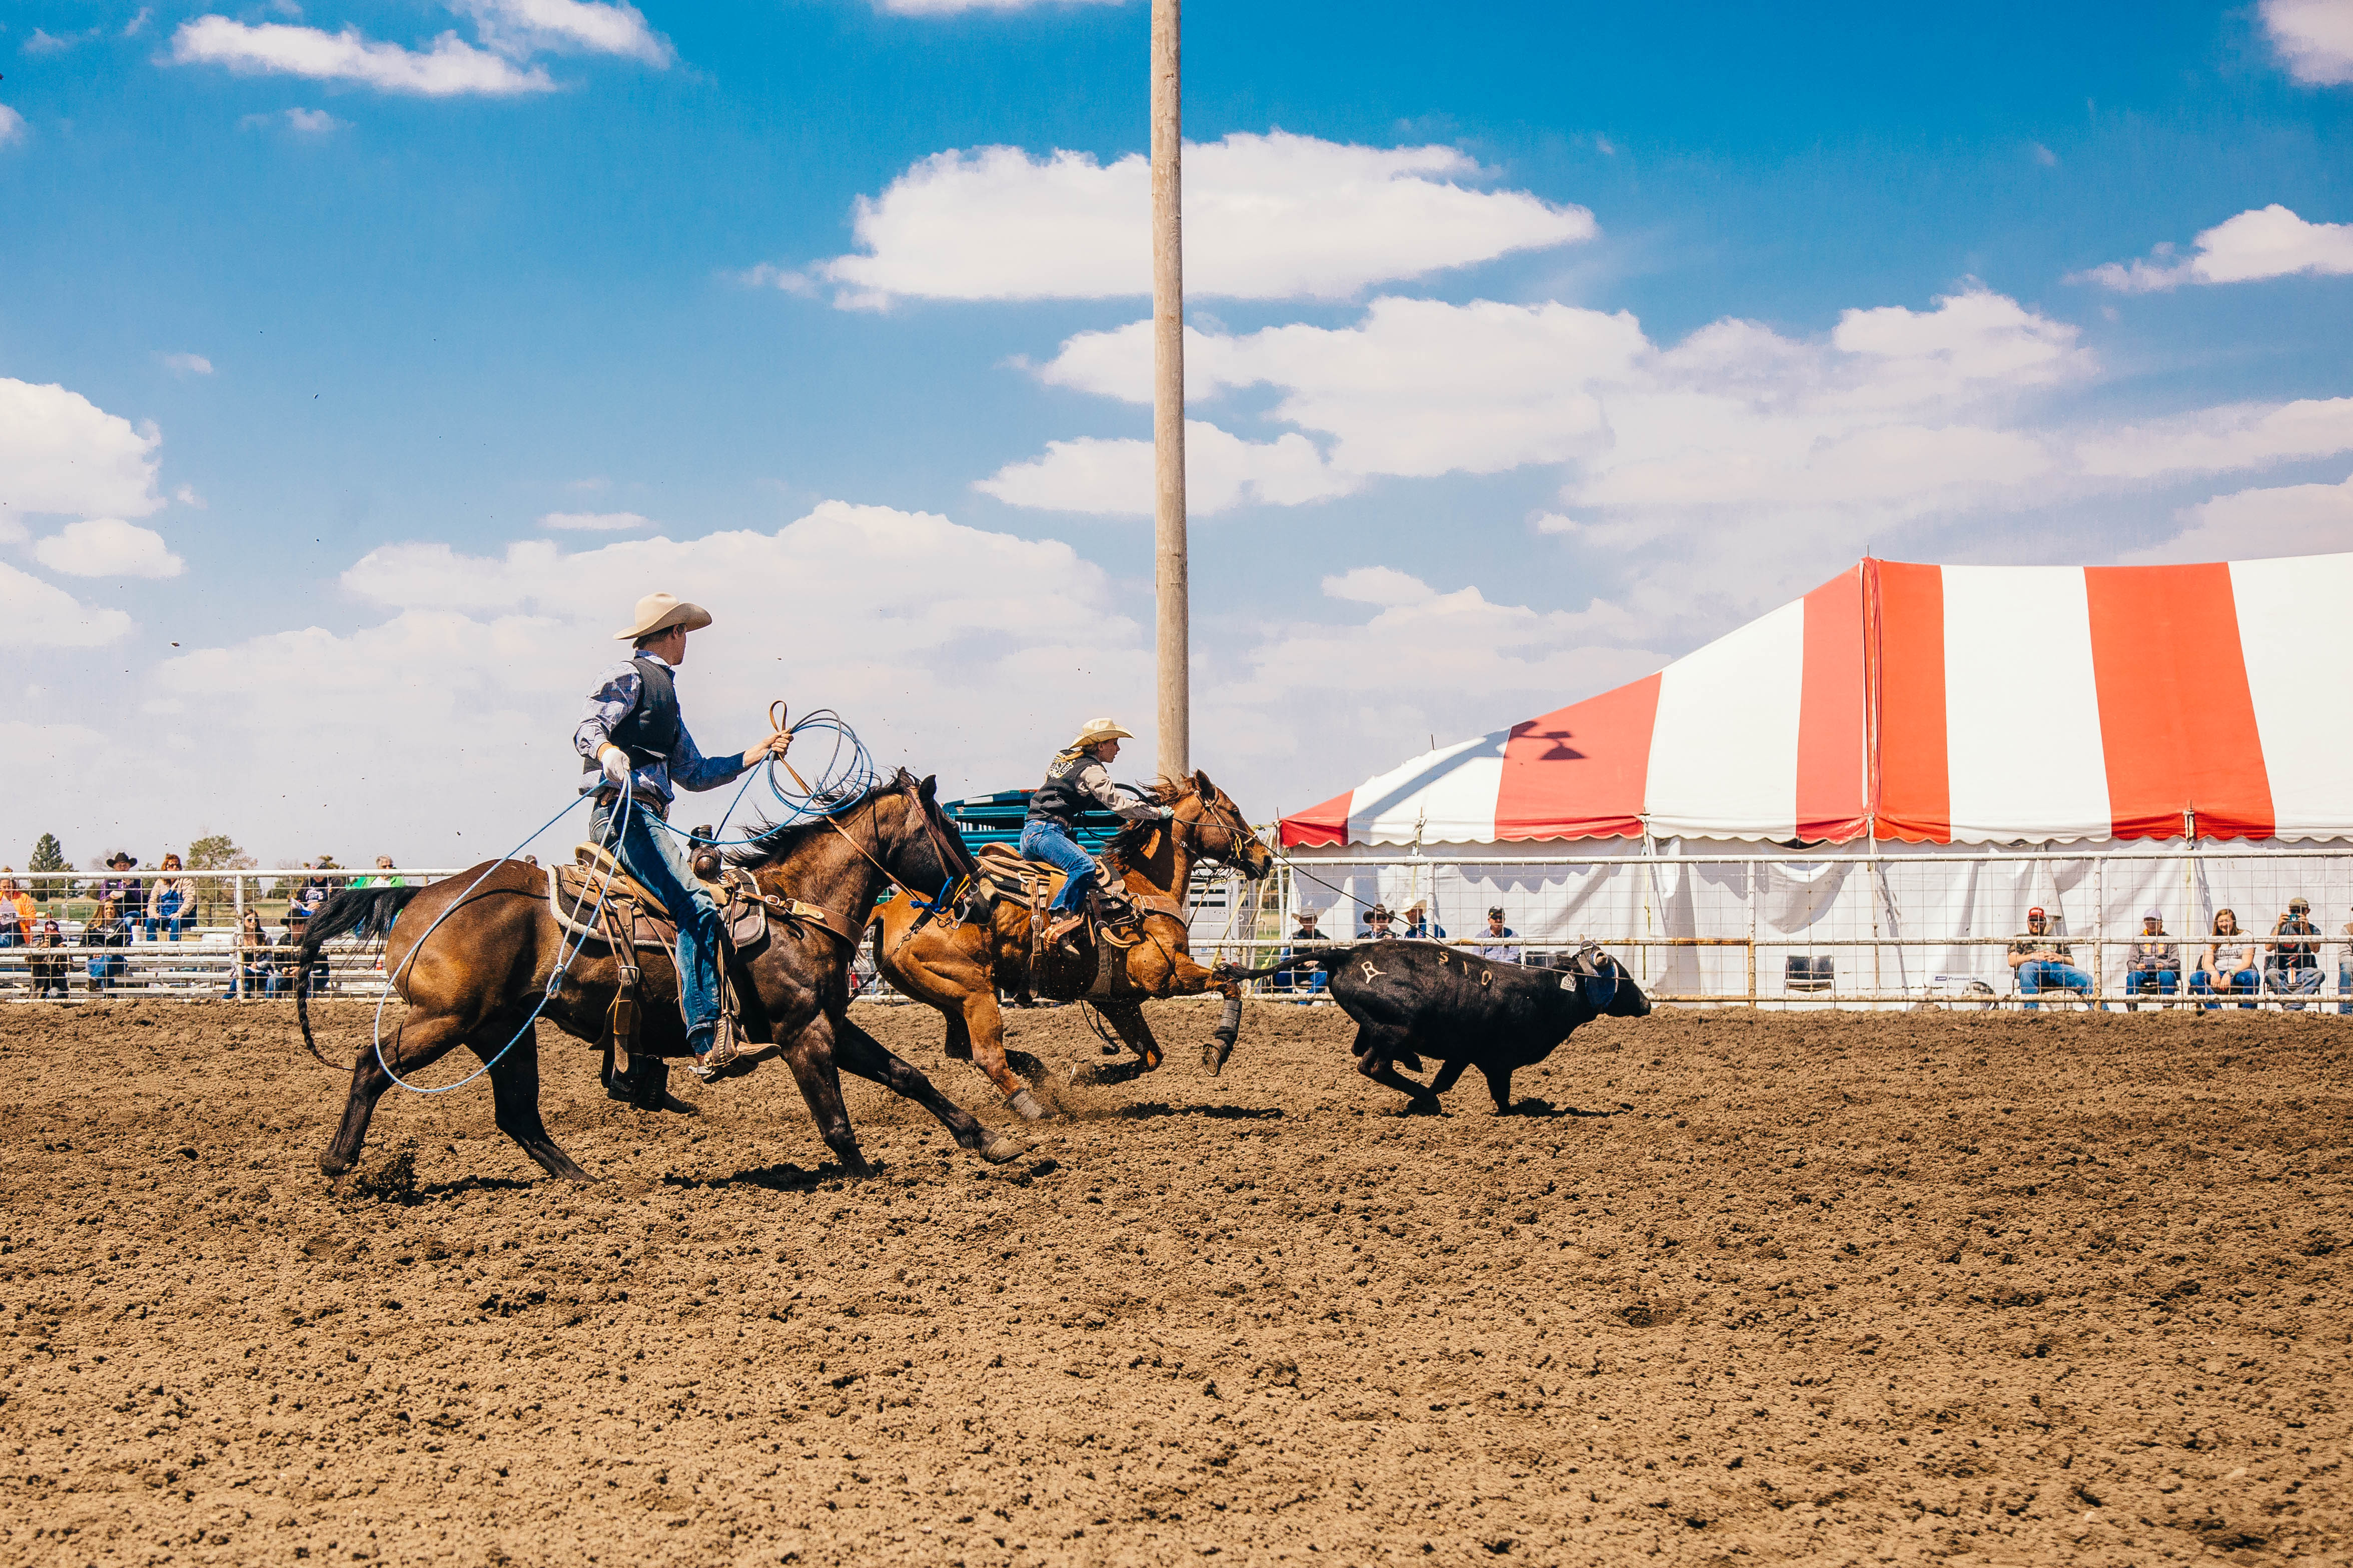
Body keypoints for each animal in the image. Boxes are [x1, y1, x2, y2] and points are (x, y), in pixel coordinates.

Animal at [296, 766, 1030, 1184]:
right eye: (947, 829)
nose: (980, 899)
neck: (794, 907)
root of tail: (418, 894)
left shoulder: (829, 1023)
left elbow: (909, 1075)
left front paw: (988, 1139)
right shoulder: (802, 1034)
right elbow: (835, 1120)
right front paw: (865, 1179)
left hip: (502, 1030)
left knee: (519, 1113)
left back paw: (586, 1180)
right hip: (448, 1018)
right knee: (371, 1064)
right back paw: (339, 1161)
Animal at [861, 771, 1270, 1114]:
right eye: (1233, 811)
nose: (1264, 858)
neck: (1143, 889)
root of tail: (887, 909)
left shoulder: (1117, 1001)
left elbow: (1151, 1057)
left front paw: (1085, 1073)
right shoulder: (1167, 977)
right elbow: (1229, 983)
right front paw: (1218, 1049)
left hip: (947, 997)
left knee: (959, 1047)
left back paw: (1040, 1073)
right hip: (973, 991)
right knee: (986, 1055)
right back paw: (1035, 1107)